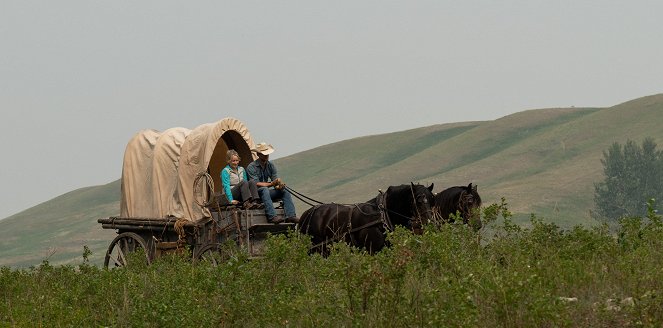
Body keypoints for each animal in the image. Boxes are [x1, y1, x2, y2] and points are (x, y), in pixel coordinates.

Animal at [300, 183, 436, 255]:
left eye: (432, 200)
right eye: (418, 201)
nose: (430, 222)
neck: (382, 216)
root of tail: (305, 215)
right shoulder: (372, 251)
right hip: (316, 250)